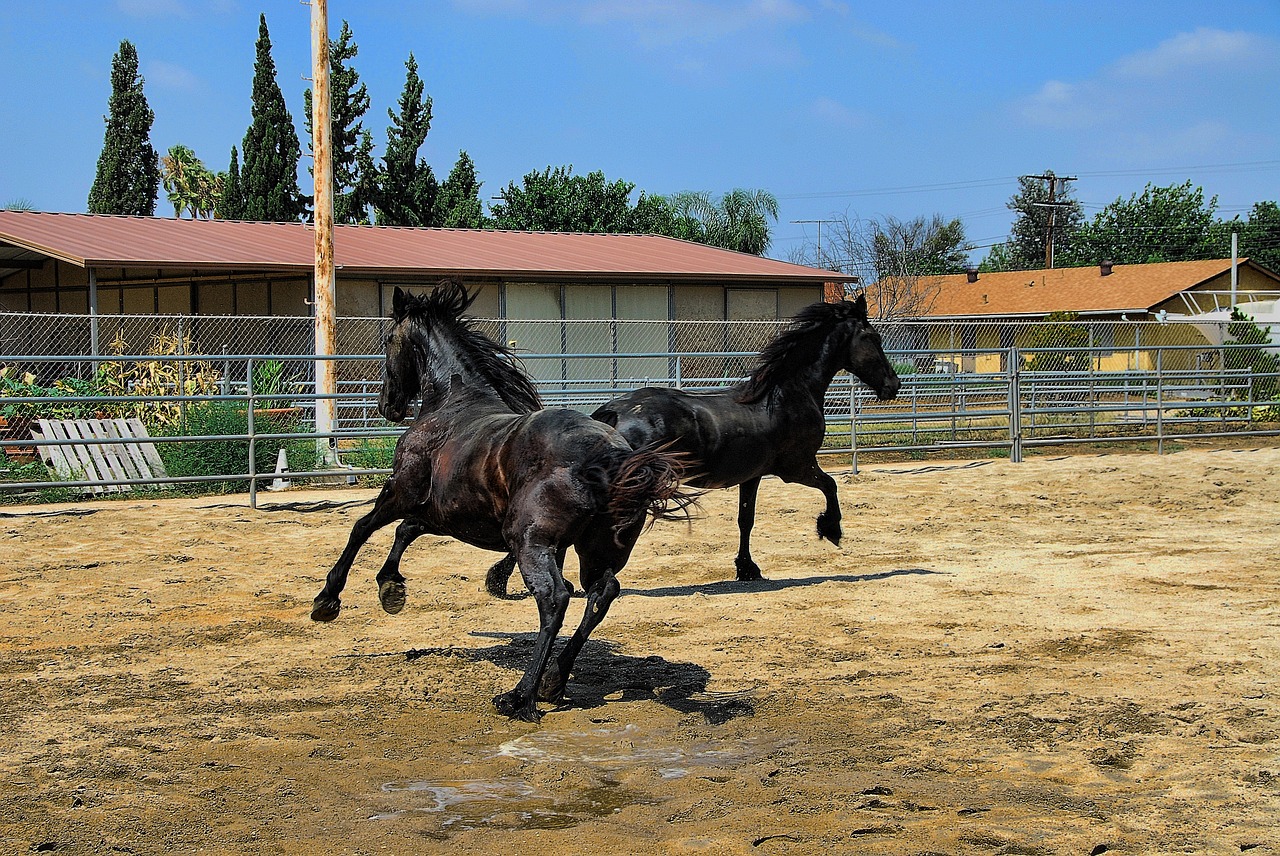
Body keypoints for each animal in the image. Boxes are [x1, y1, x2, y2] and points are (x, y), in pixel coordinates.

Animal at [311, 281, 696, 721]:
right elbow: (406, 531)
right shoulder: (451, 514)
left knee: (556, 598)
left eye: (388, 339)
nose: (386, 405)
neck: (452, 402)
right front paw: (391, 586)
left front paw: (328, 599)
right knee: (601, 594)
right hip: (596, 550)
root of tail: (613, 456)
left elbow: (363, 527)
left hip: (531, 541)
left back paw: (519, 696)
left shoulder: (403, 490)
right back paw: (553, 681)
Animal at [488, 290, 901, 591]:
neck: (786, 394)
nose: (893, 386)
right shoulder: (795, 467)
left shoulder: (753, 476)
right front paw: (831, 530)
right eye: (873, 337)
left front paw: (747, 569)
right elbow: (831, 486)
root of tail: (612, 412)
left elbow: (746, 520)